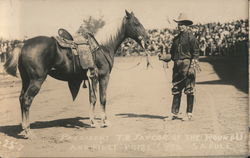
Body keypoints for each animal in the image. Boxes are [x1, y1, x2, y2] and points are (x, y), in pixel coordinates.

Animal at [3, 10, 149, 138]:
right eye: (136, 23)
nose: (147, 39)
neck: (102, 47)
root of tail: (24, 44)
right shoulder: (103, 77)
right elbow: (102, 98)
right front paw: (104, 121)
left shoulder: (91, 78)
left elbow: (92, 99)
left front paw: (93, 122)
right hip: (36, 80)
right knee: (27, 100)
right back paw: (28, 132)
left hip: (26, 80)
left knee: (21, 98)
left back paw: (23, 127)